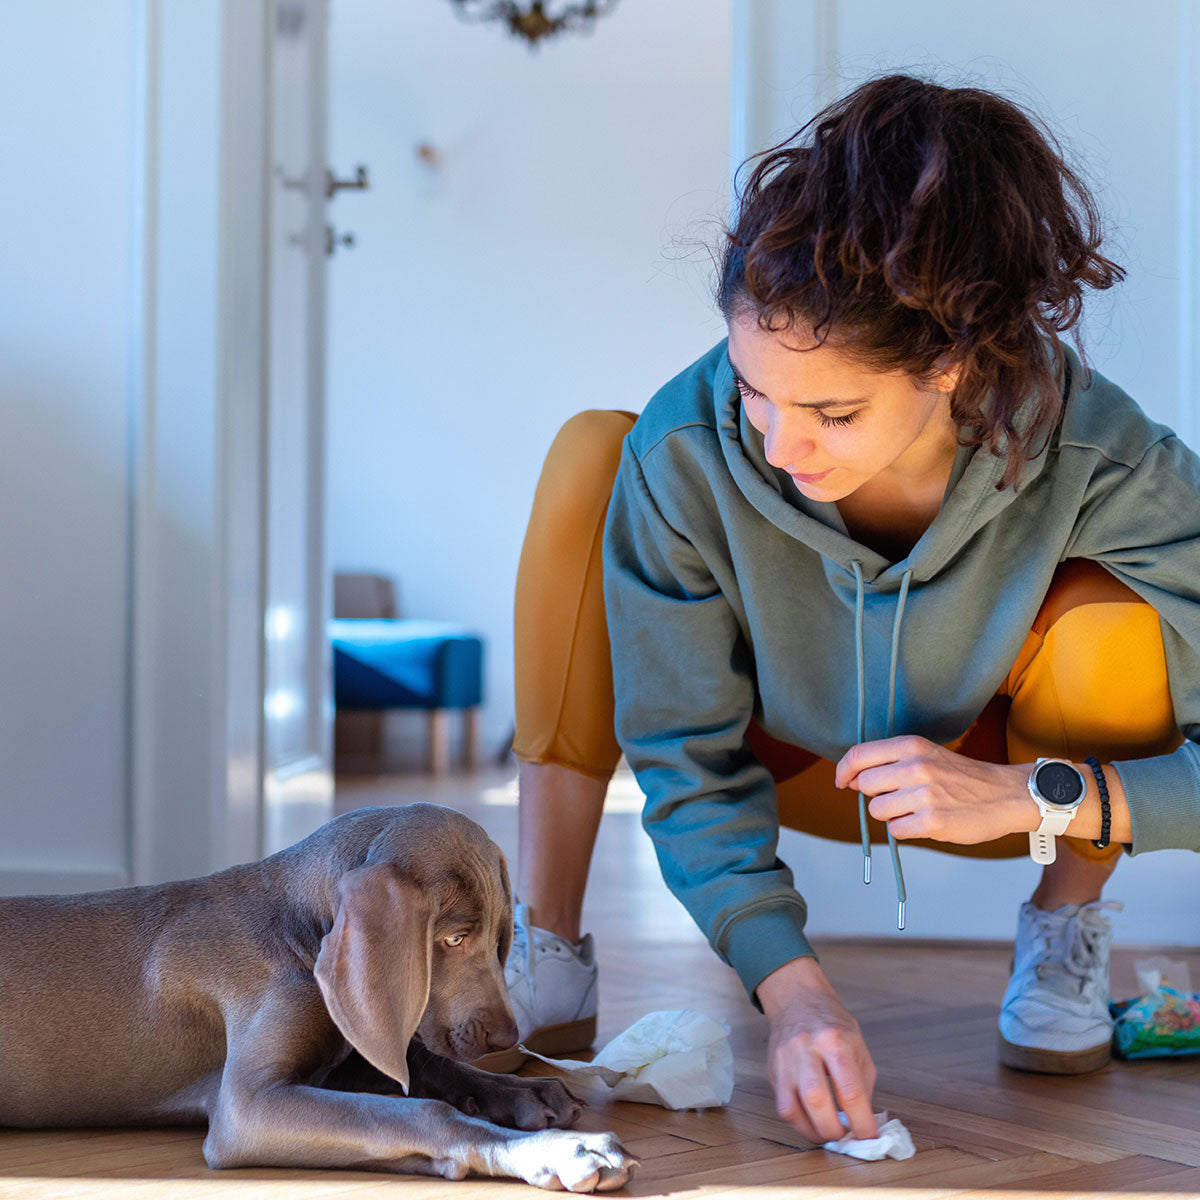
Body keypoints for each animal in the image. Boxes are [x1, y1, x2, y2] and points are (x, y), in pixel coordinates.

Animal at [0, 801, 638, 1185]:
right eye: (454, 939)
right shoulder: (248, 1106)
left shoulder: (348, 1051)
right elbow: (423, 1110)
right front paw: (558, 1149)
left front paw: (521, 1093)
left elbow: (424, 1066)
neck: (297, 932)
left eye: (503, 938)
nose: (508, 1038)